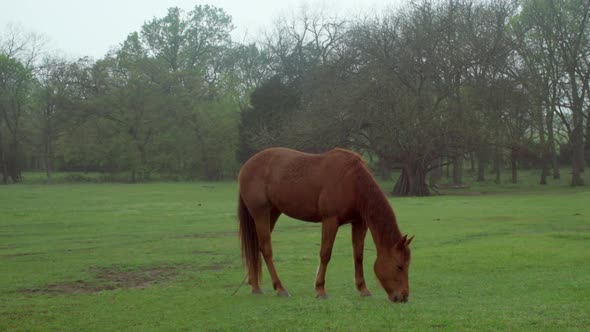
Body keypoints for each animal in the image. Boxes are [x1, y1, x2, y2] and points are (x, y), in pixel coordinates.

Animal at [238, 147, 414, 302]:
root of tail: (246, 167)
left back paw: (255, 285)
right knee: (266, 249)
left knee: (255, 246)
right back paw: (280, 288)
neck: (352, 181)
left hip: (272, 213)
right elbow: (325, 254)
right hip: (260, 212)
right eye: (399, 266)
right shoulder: (330, 220)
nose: (404, 296)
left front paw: (363, 289)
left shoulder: (359, 223)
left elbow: (358, 255)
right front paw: (320, 289)